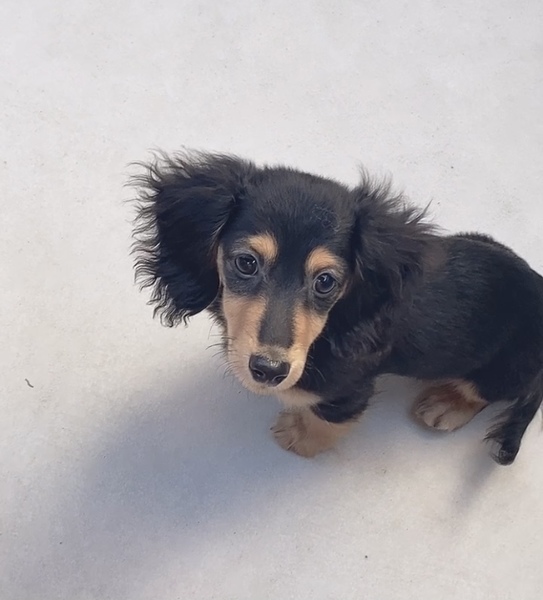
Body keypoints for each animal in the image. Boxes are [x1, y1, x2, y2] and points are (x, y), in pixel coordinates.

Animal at [132, 151, 543, 465]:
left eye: (325, 281)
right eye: (246, 263)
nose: (269, 371)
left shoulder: (348, 390)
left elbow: (325, 423)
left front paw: (298, 436)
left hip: (504, 369)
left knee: (486, 392)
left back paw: (447, 403)